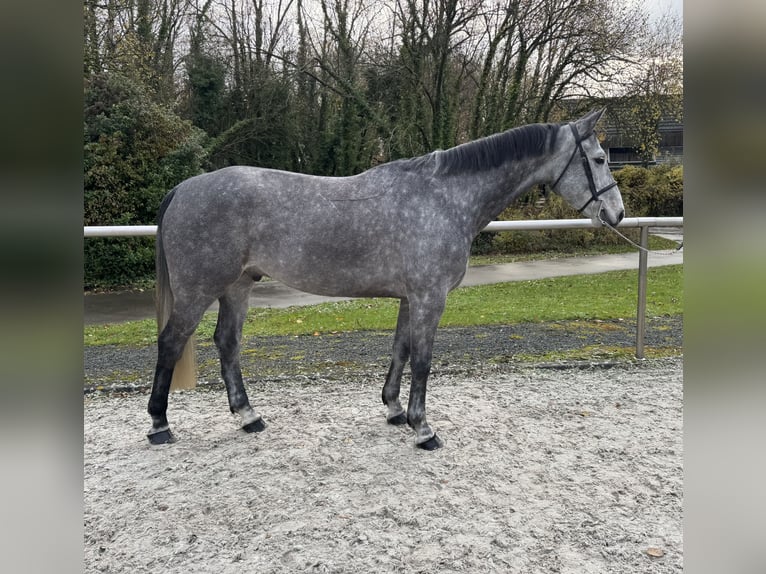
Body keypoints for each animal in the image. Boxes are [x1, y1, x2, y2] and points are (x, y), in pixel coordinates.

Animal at [148, 108, 624, 450]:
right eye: (600, 159)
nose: (616, 214)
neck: (443, 198)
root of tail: (183, 188)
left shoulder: (410, 297)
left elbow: (400, 350)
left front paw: (395, 410)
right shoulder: (430, 297)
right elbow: (423, 360)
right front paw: (423, 428)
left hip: (238, 287)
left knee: (227, 342)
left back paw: (249, 417)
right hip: (199, 290)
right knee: (171, 342)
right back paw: (159, 424)